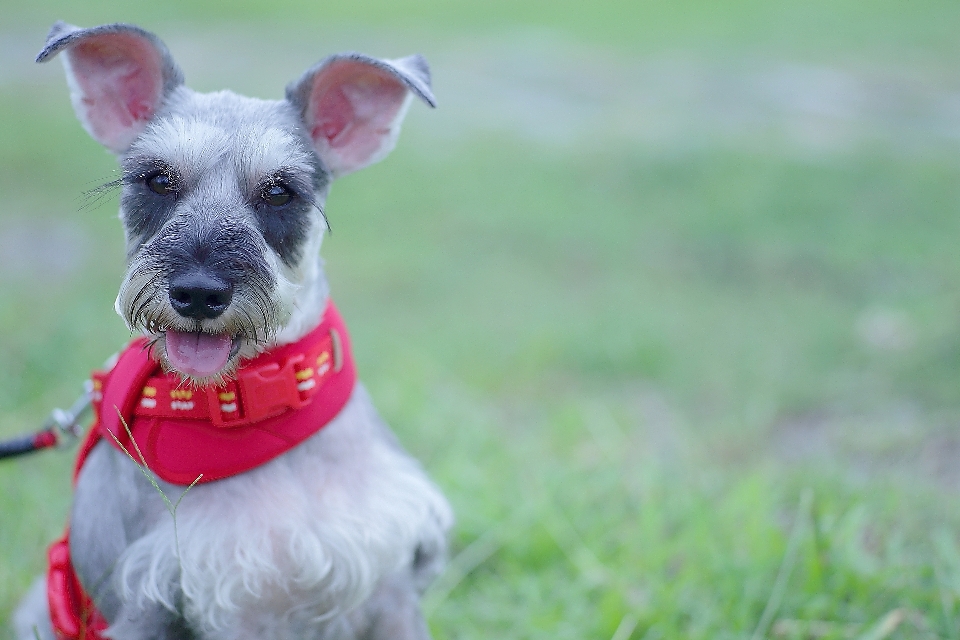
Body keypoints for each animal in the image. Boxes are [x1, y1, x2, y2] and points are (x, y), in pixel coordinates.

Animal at [11, 20, 454, 640]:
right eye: (157, 179)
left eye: (280, 191)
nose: (198, 293)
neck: (258, 410)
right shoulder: (144, 603)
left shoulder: (391, 587)